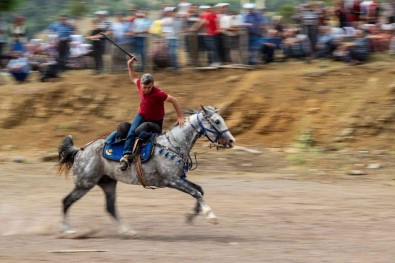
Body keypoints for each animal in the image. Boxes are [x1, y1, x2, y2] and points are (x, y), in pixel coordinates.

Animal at [58, 106, 235, 238]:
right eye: (217, 121)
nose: (232, 141)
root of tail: (79, 150)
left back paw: (127, 231)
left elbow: (199, 190)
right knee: (66, 201)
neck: (173, 145)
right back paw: (67, 231)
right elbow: (196, 192)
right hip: (85, 183)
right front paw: (211, 217)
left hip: (107, 182)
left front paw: (191, 216)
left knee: (110, 207)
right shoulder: (172, 181)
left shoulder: (179, 178)